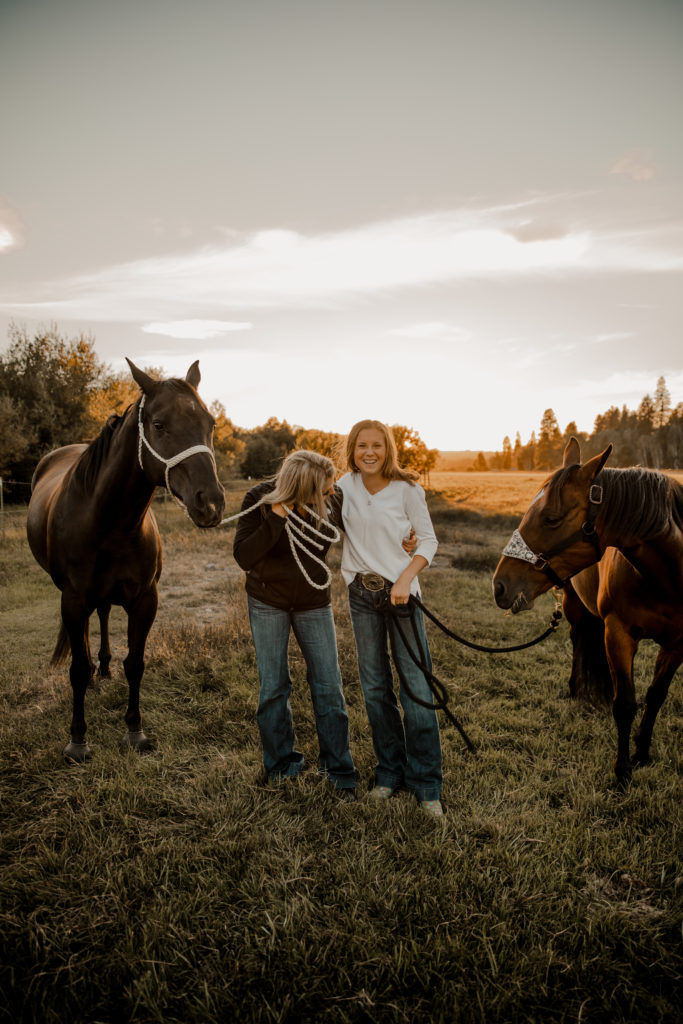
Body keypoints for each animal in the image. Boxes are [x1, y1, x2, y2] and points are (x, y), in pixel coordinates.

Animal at [26, 360, 224, 761]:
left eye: (210, 423)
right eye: (159, 424)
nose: (210, 504)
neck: (109, 523)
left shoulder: (145, 599)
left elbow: (135, 663)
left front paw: (135, 732)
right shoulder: (72, 600)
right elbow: (76, 670)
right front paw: (78, 740)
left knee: (102, 615)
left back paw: (103, 668)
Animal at [493, 438, 679, 782]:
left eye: (551, 518)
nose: (499, 585)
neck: (666, 580)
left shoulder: (677, 645)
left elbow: (655, 697)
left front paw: (641, 754)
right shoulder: (618, 634)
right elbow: (625, 704)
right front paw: (622, 772)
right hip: (572, 603)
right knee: (578, 638)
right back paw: (574, 689)